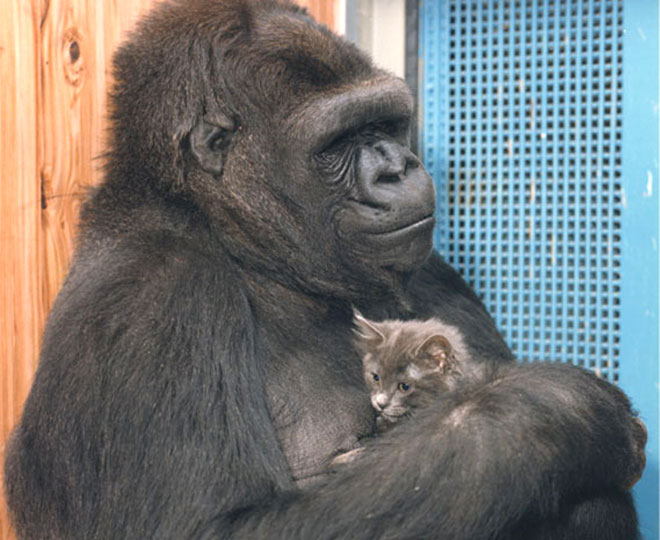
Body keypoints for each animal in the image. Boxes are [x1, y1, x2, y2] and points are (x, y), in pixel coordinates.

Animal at [2, 1, 648, 540]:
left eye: (385, 124)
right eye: (338, 142)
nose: (399, 167)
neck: (232, 238)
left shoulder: (429, 270)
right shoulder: (155, 294)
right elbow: (213, 527)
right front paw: (559, 409)